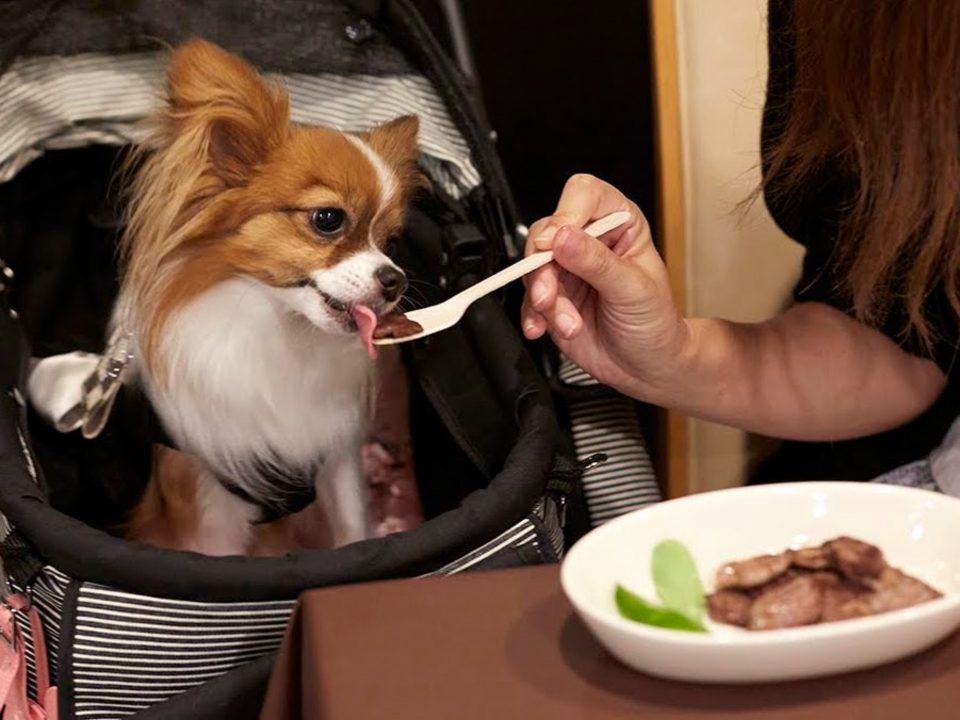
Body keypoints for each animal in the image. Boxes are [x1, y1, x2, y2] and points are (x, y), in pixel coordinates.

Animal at [111, 39, 416, 556]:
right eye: (328, 219)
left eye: (388, 240)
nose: (395, 279)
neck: (278, 332)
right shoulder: (210, 507)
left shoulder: (335, 459)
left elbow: (351, 531)